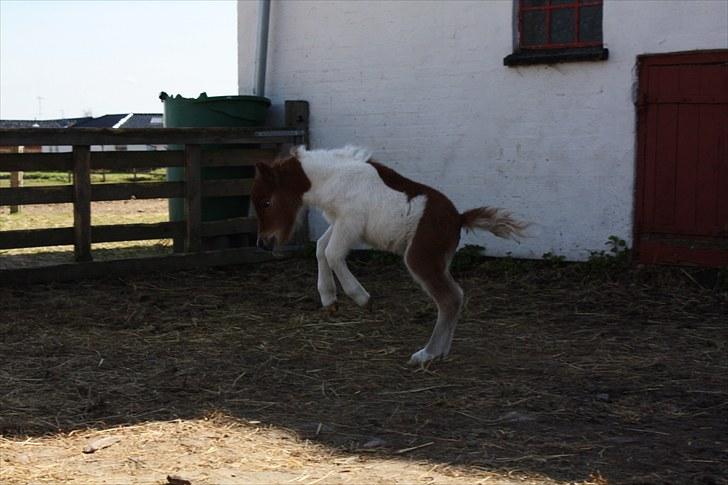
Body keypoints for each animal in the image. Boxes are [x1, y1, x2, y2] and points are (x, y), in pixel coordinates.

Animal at [253, 146, 528, 364]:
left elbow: (332, 254)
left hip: (420, 258)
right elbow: (321, 248)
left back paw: (426, 354)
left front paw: (362, 298)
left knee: (449, 299)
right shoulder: (339, 222)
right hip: (439, 262)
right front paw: (329, 299)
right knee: (457, 296)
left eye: (267, 202)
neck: (333, 179)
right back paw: (441, 353)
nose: (263, 243)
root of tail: (459, 219)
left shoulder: (350, 222)